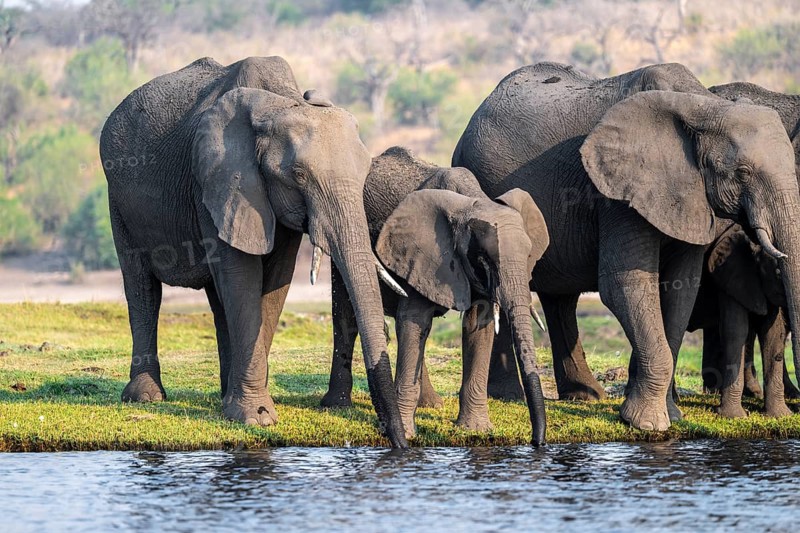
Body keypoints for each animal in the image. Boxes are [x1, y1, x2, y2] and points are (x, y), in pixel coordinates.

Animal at [99, 56, 408, 447]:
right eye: (298, 175)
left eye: (365, 172)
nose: (399, 441)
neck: (280, 102)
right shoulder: (220, 180)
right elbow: (242, 275)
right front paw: (256, 417)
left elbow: (274, 282)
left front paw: (247, 410)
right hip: (118, 199)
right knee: (142, 286)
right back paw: (146, 396)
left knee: (217, 298)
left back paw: (223, 395)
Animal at [320, 146, 549, 444]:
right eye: (484, 260)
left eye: (529, 255)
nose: (536, 442)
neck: (471, 202)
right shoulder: (421, 252)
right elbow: (415, 319)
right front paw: (408, 435)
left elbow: (478, 326)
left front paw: (475, 430)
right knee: (347, 316)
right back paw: (336, 405)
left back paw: (431, 404)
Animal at [453, 62, 800, 431]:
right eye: (743, 172)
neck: (703, 107)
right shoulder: (617, 196)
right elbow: (624, 284)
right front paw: (647, 423)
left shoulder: (692, 197)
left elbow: (680, 290)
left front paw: (670, 415)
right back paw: (511, 396)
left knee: (560, 299)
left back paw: (586, 396)